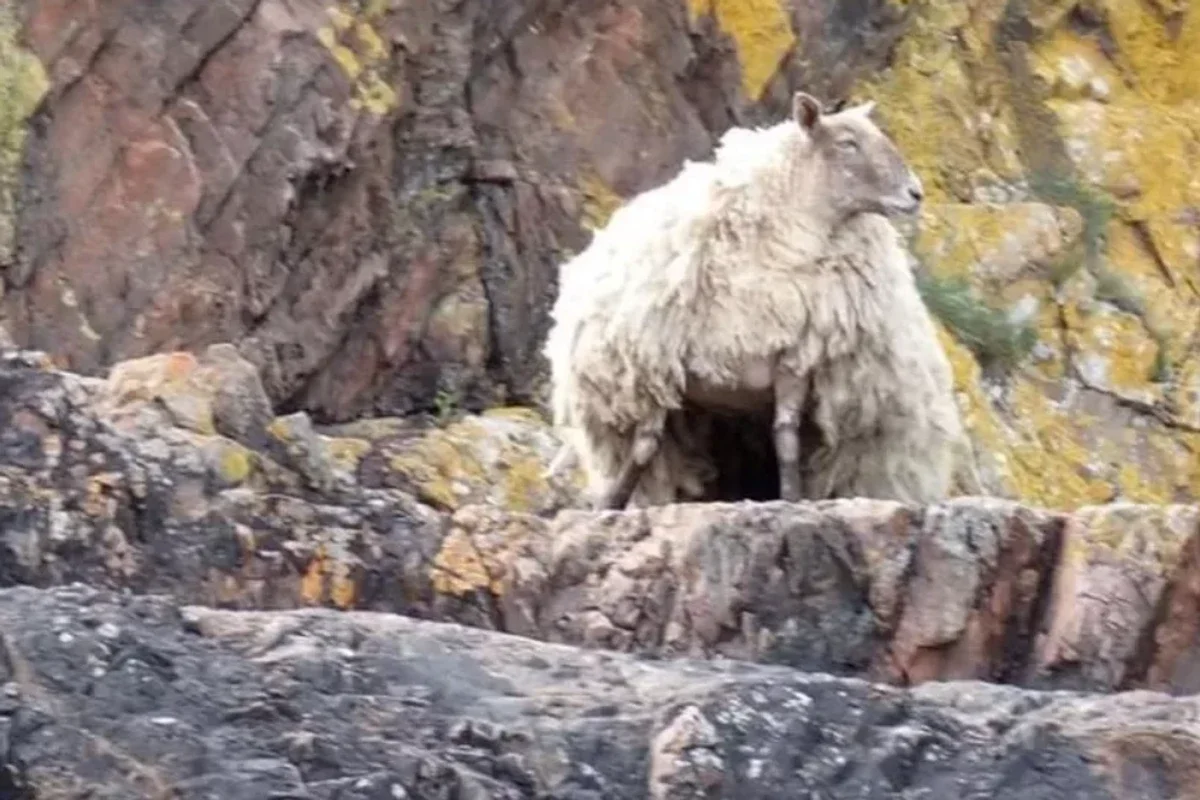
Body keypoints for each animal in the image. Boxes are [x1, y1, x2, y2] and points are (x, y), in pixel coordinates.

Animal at [542, 90, 965, 510]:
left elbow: (786, 437)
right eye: (848, 143)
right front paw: (610, 505)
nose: (915, 193)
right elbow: (646, 445)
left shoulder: (796, 360)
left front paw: (791, 499)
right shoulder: (658, 365)